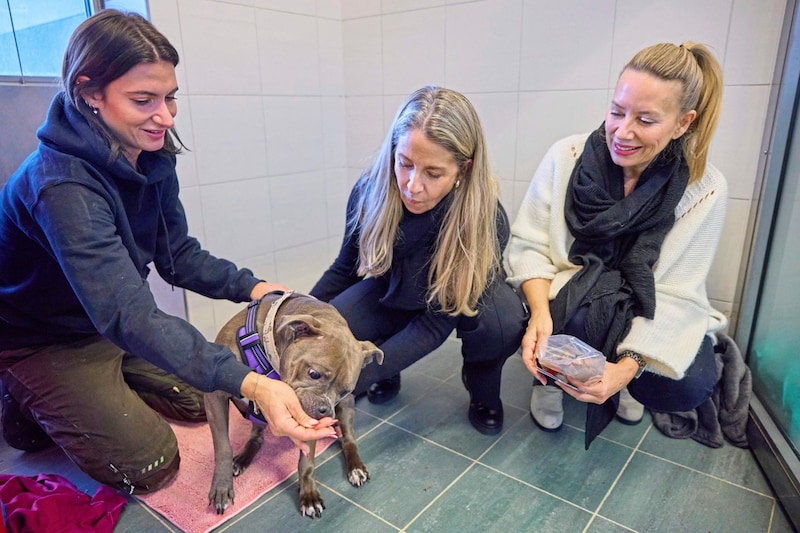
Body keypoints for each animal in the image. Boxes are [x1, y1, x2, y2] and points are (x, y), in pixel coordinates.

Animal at [205, 288, 382, 516]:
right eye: (314, 373)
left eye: (344, 391)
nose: (324, 410)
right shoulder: (215, 394)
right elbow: (223, 447)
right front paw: (222, 485)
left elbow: (306, 463)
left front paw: (309, 495)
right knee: (257, 437)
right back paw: (243, 458)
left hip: (346, 409)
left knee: (348, 439)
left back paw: (356, 468)